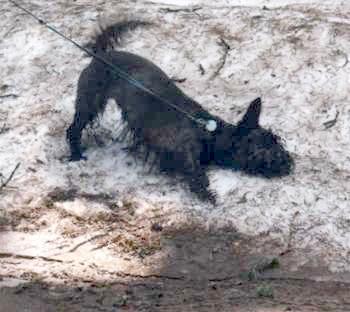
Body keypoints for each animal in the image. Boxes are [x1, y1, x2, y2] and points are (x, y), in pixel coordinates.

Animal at [67, 20, 294, 204]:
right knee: (73, 129)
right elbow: (195, 172)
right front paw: (206, 194)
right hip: (90, 102)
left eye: (276, 140)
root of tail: (100, 55)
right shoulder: (183, 149)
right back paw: (76, 155)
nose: (288, 163)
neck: (210, 134)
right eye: (261, 150)